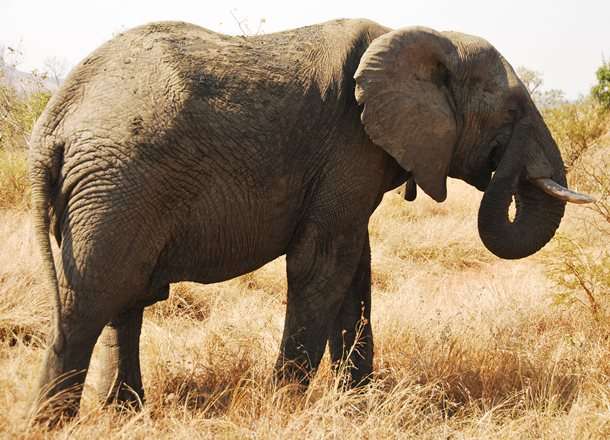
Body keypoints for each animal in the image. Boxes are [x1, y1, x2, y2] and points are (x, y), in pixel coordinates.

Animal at [27, 18, 588, 422]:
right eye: (511, 111)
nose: (509, 166)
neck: (421, 36)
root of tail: (53, 122)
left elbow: (355, 269)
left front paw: (357, 405)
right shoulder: (349, 146)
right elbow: (322, 265)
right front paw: (285, 407)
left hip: (111, 192)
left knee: (124, 302)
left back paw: (126, 414)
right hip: (117, 186)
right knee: (90, 302)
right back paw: (51, 424)